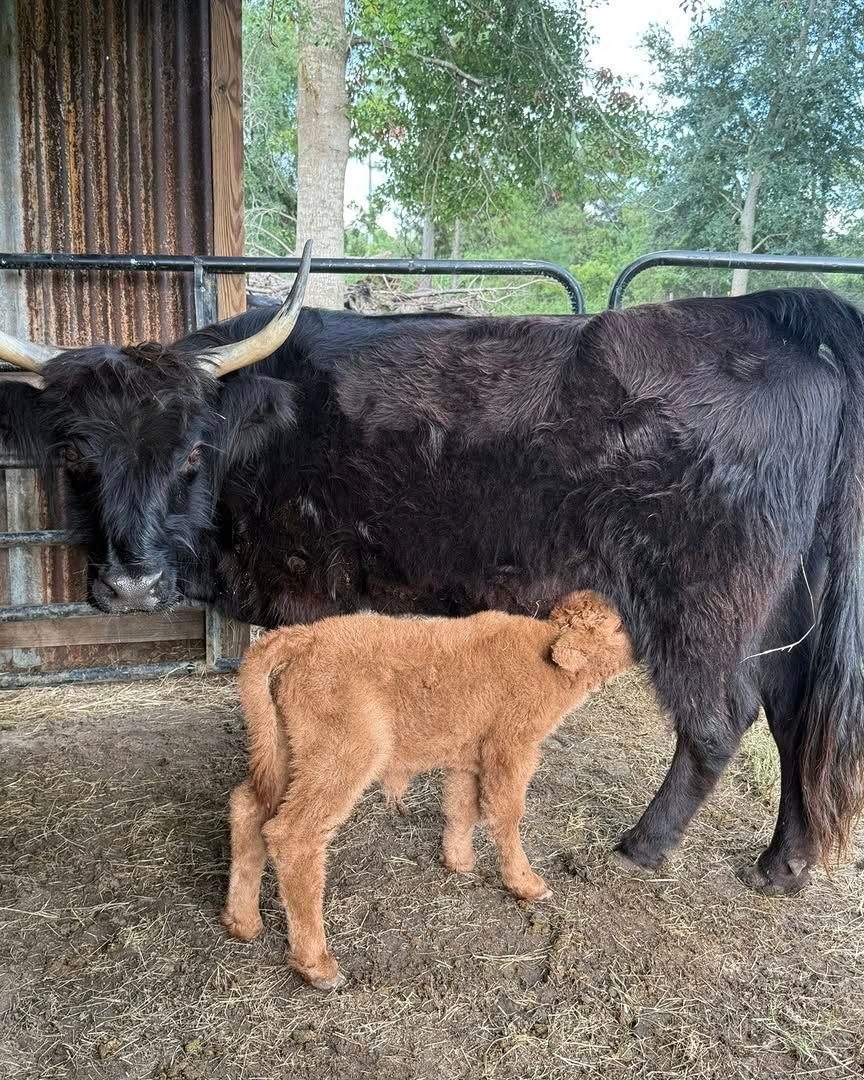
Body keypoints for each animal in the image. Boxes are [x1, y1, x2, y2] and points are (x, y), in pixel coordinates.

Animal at [1, 245, 863, 897]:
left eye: (190, 451)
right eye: (76, 454)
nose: (131, 586)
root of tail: (770, 312)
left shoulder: (310, 592)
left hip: (701, 603)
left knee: (720, 721)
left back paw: (640, 847)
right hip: (786, 610)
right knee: (794, 718)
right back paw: (782, 865)